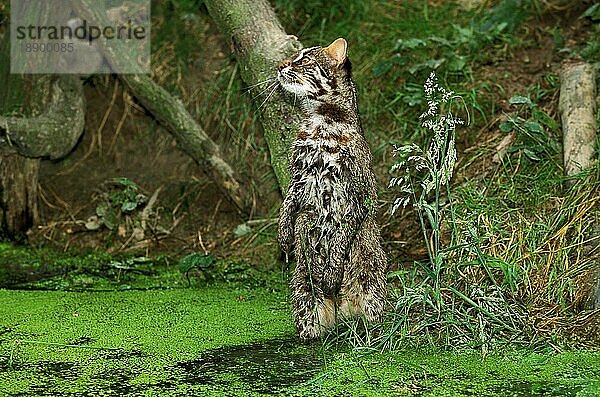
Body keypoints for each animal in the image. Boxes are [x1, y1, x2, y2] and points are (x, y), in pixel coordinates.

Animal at [278, 38, 390, 340]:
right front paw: (283, 232)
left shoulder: (357, 193)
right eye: (293, 56)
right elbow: (288, 204)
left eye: (304, 60)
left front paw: (333, 267)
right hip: (305, 296)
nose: (280, 66)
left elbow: (342, 236)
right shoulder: (299, 179)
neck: (321, 119)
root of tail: (342, 310)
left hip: (371, 289)